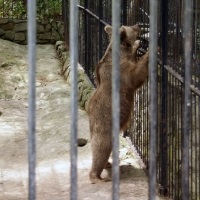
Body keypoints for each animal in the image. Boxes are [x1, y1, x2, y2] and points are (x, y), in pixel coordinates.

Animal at [86, 24, 149, 184]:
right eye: (130, 27)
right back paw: (98, 176)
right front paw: (146, 49)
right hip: (104, 126)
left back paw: (108, 163)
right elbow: (136, 75)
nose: (138, 25)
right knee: (101, 147)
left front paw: (137, 46)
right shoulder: (122, 73)